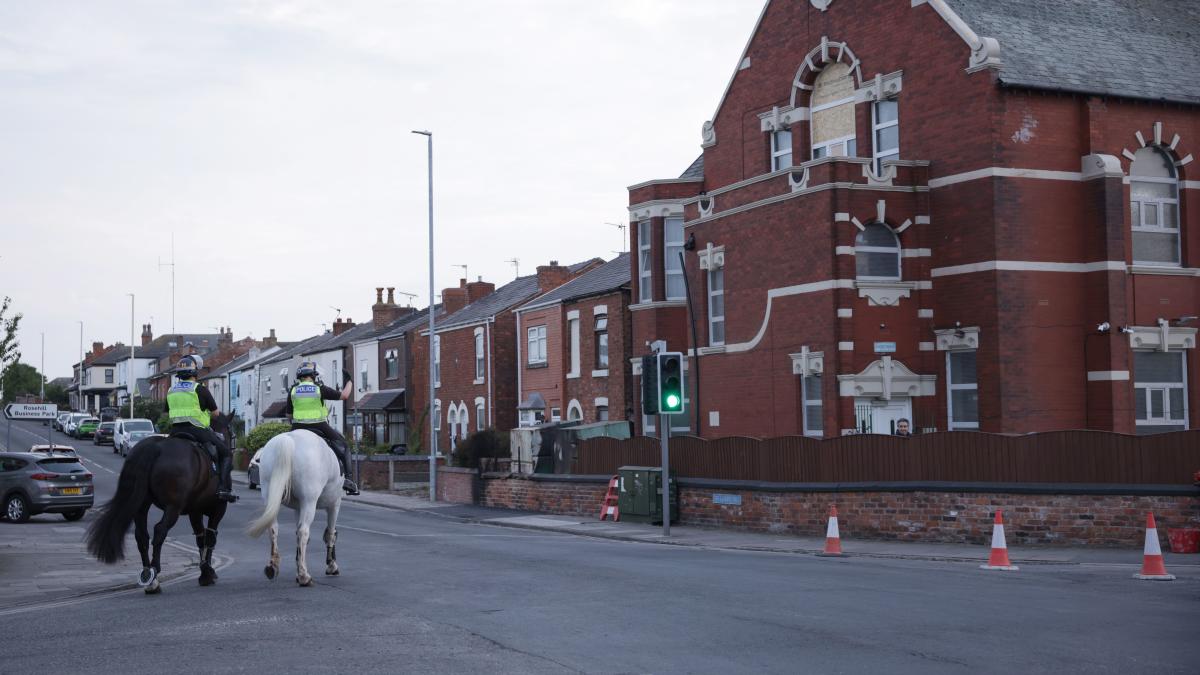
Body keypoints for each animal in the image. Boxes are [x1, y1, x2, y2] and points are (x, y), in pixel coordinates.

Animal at [86, 413, 234, 590]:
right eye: (232, 434)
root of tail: (156, 447)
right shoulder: (219, 507)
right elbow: (210, 537)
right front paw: (207, 572)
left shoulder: (195, 510)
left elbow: (201, 537)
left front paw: (205, 570)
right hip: (173, 506)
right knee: (160, 530)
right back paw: (154, 571)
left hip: (141, 504)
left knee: (141, 535)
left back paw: (146, 573)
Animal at [244, 429, 343, 583]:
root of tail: (289, 439)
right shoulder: (334, 504)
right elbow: (330, 534)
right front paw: (331, 566)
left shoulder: (298, 507)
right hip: (309, 501)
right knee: (304, 531)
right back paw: (304, 576)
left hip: (269, 493)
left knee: (273, 527)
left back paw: (273, 567)